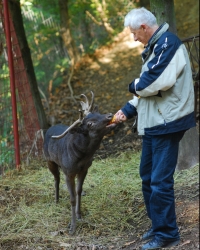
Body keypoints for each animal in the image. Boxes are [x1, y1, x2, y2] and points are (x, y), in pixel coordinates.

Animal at [43, 91, 116, 234]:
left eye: (98, 113)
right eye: (90, 123)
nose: (110, 115)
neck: (81, 157)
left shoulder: (85, 169)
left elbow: (78, 191)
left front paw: (79, 215)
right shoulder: (68, 172)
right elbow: (71, 199)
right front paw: (72, 227)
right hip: (49, 160)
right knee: (56, 178)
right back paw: (56, 200)